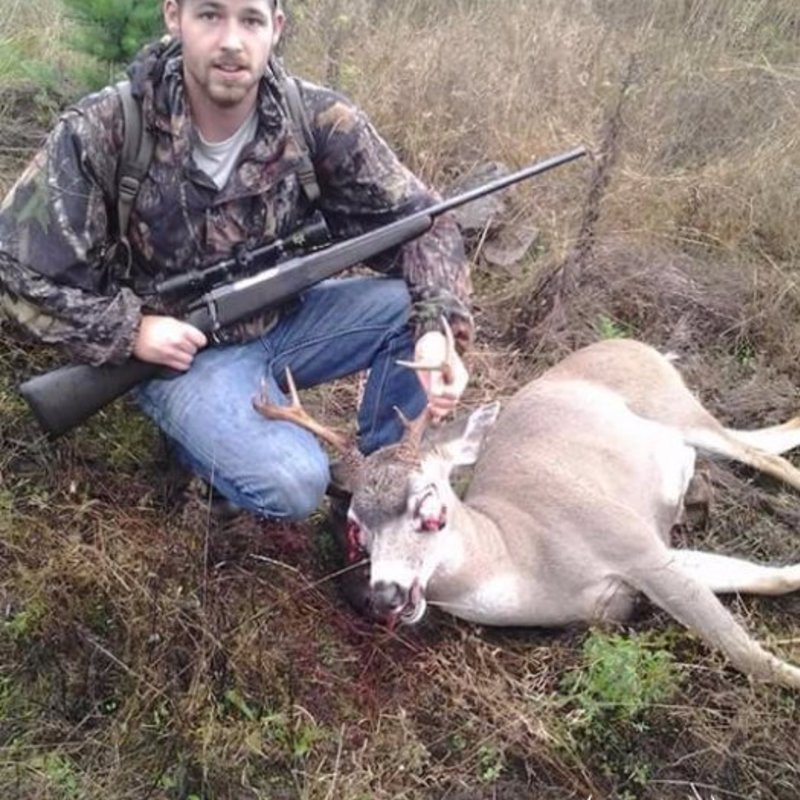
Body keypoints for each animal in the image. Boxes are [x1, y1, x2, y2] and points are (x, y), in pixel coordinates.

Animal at [253, 334, 800, 689]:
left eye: (427, 499)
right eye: (356, 526)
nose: (384, 594)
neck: (524, 556)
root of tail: (636, 344)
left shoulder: (633, 542)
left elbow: (746, 652)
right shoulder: (641, 569)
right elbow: (774, 578)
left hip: (677, 409)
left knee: (766, 455)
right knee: (772, 441)